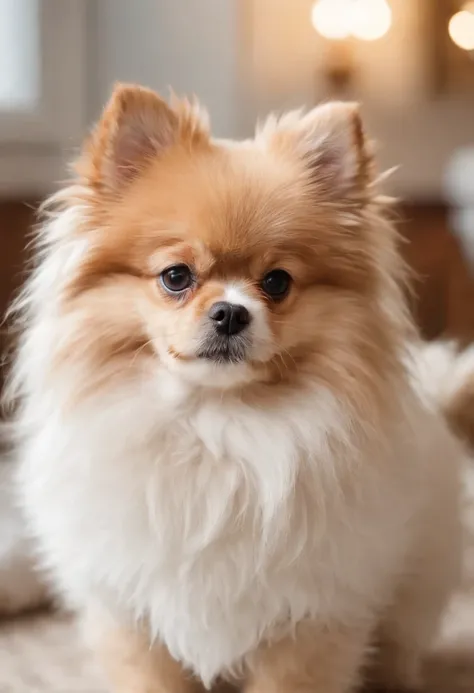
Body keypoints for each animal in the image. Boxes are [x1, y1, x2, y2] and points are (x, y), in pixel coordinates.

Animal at [3, 88, 470, 692]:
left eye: (277, 282)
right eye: (176, 276)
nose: (230, 312)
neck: (216, 427)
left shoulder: (313, 615)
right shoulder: (132, 614)